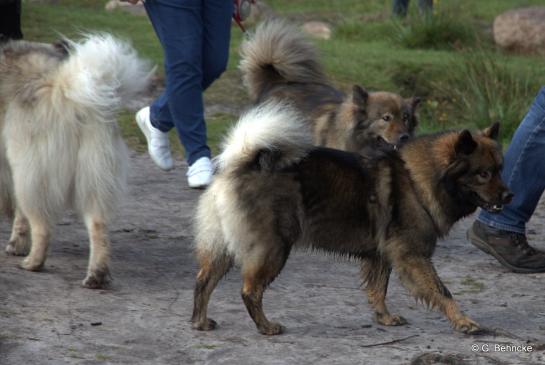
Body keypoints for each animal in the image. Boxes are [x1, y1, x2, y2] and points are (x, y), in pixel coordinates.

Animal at [0, 34, 151, 288]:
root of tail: (65, 94)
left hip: (32, 176)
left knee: (42, 227)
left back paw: (33, 263)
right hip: (95, 177)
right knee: (98, 225)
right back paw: (96, 275)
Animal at [190, 103, 510, 336]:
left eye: (500, 169)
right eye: (483, 173)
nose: (509, 196)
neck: (417, 180)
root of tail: (241, 163)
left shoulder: (382, 256)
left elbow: (379, 290)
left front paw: (384, 317)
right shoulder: (412, 256)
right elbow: (442, 291)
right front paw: (464, 321)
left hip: (225, 248)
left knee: (204, 281)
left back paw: (200, 322)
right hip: (273, 249)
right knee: (249, 291)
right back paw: (266, 327)